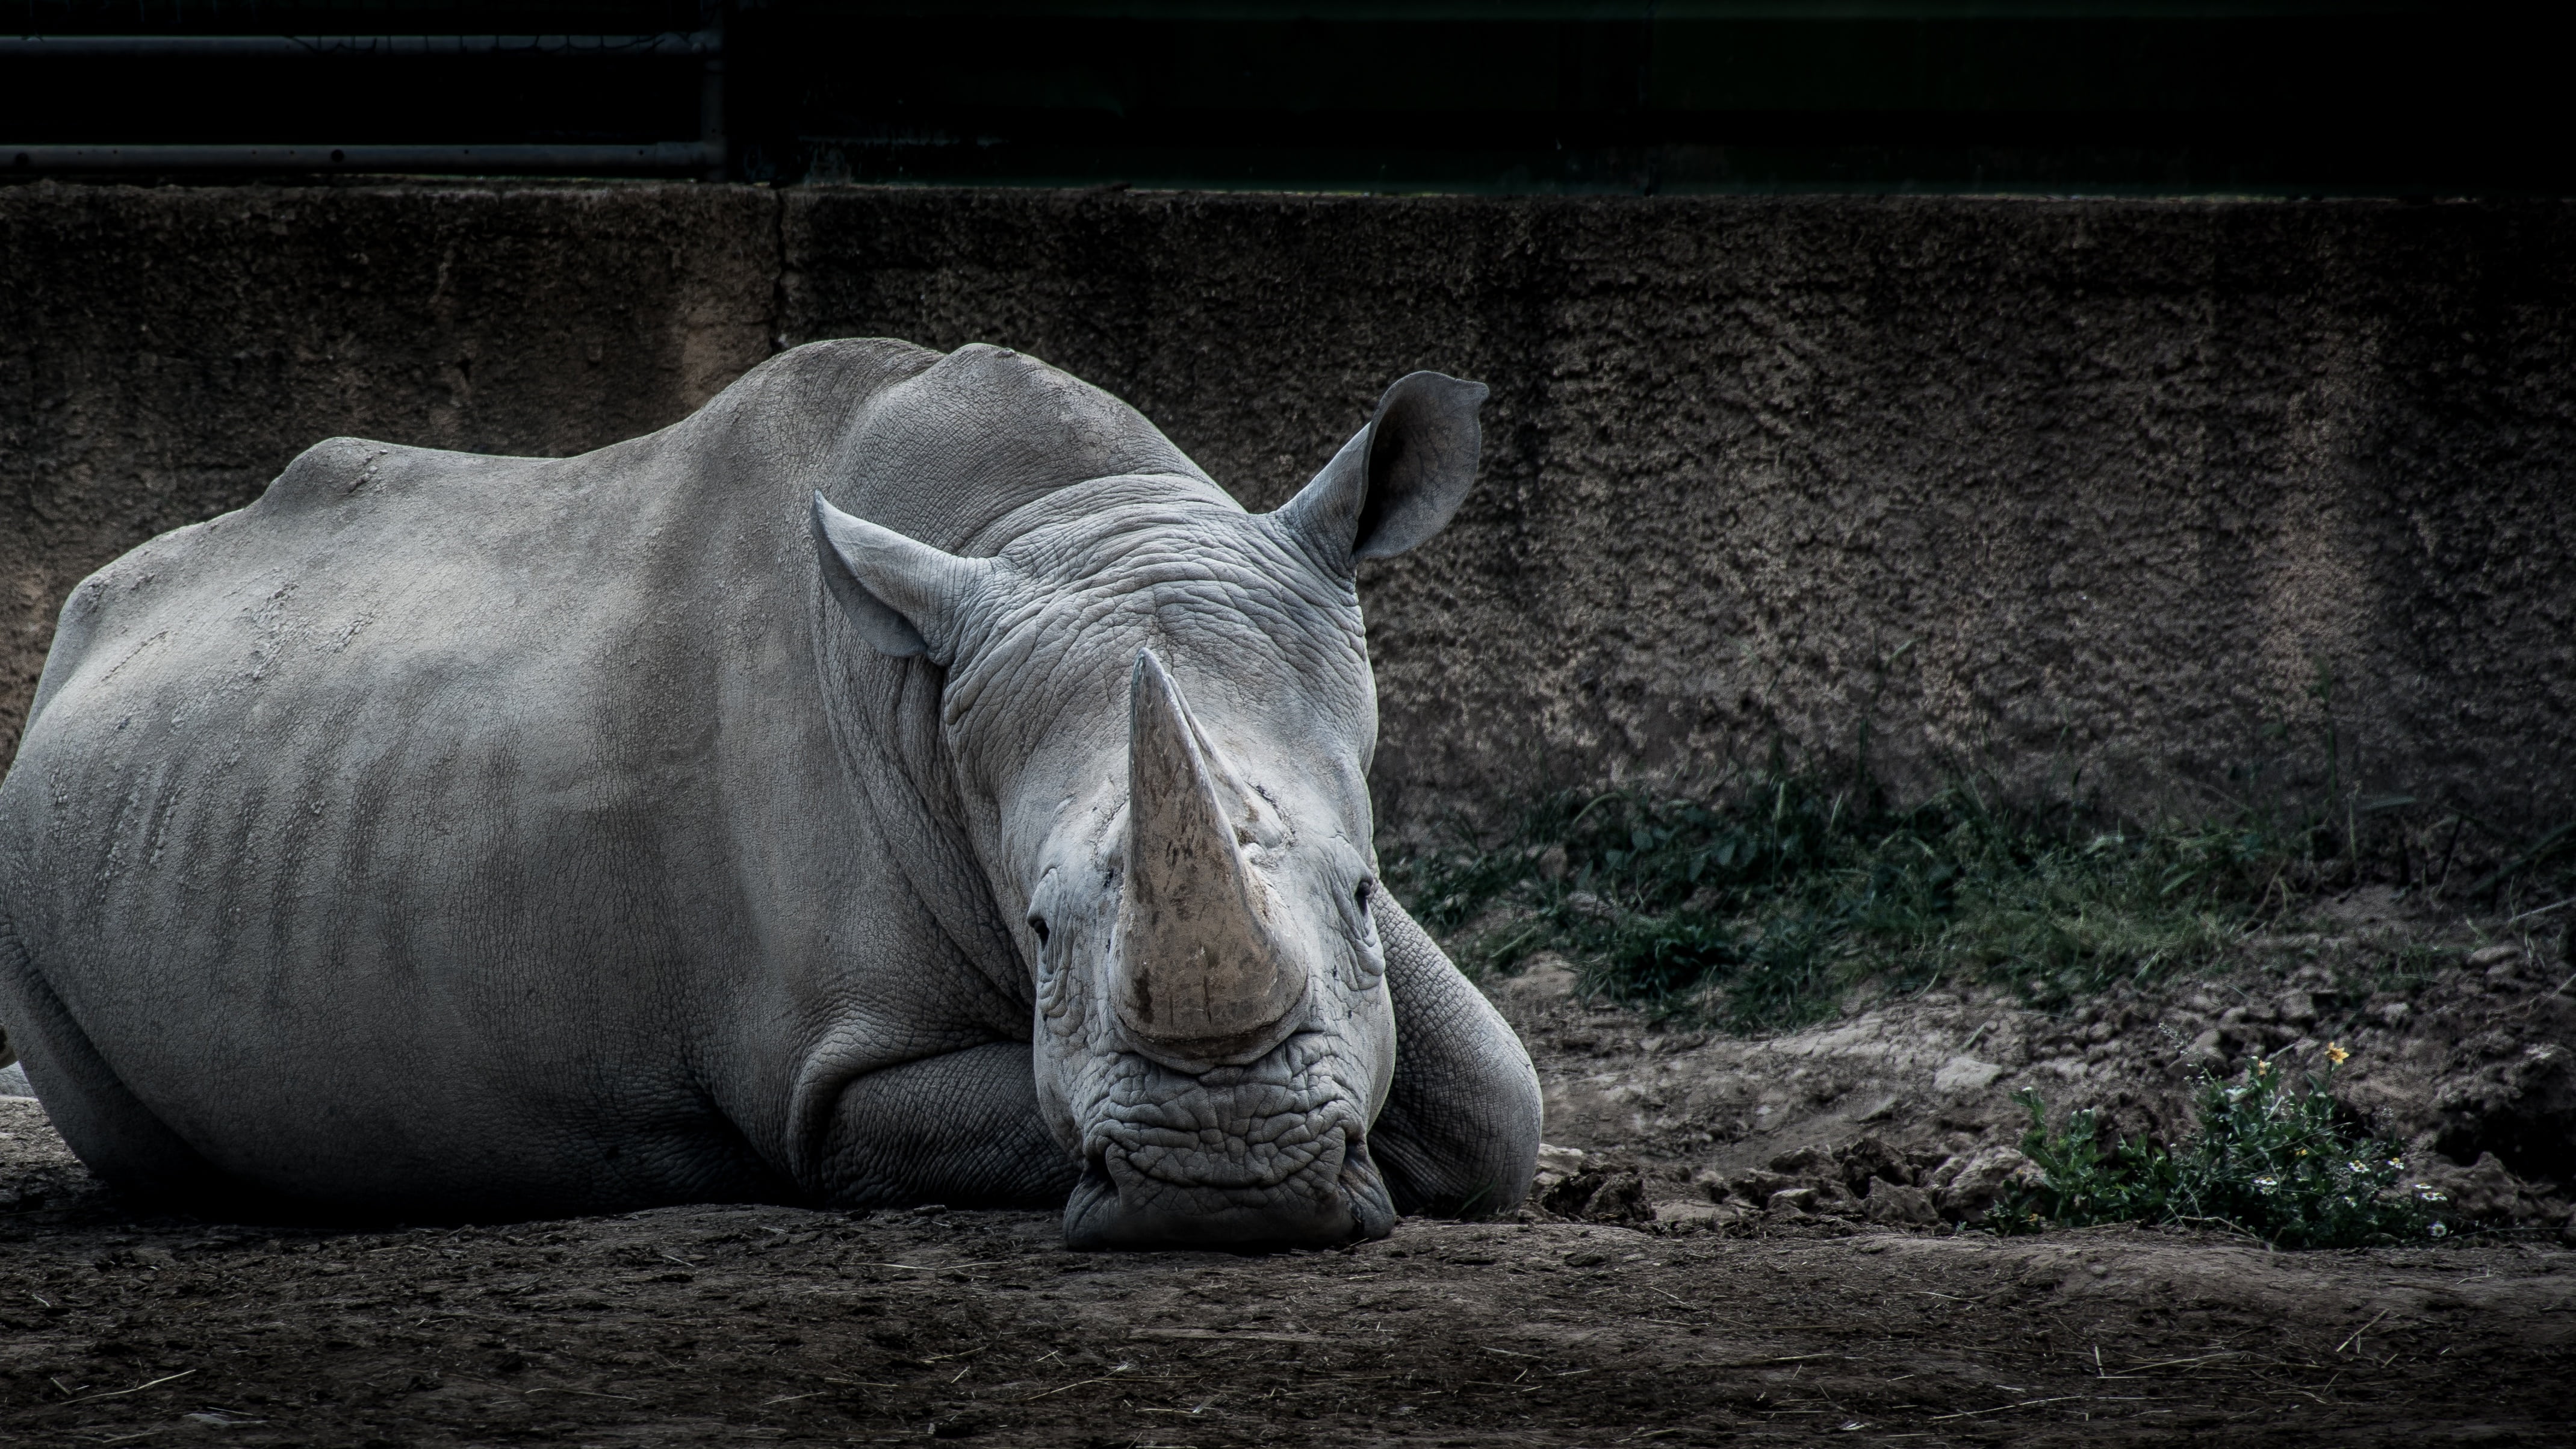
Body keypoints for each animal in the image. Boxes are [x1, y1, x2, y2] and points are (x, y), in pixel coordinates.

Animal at [0, 339, 1542, 1247]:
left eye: (1362, 890)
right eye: (1040, 933)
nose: (1228, 1187)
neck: (1067, 518)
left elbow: (1494, 1091)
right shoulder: (834, 1077)